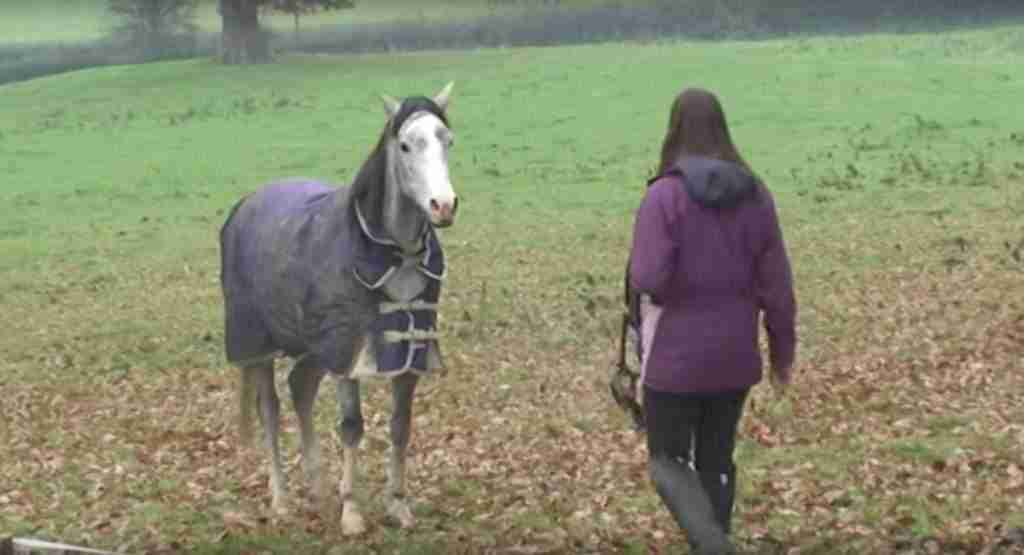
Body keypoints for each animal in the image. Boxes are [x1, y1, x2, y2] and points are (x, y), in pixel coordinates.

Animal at [218, 83, 458, 535]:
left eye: (447, 141)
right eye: (404, 145)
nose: (443, 205)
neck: (393, 255)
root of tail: (245, 204)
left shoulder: (408, 353)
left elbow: (400, 427)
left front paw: (398, 504)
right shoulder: (348, 354)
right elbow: (351, 428)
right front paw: (352, 513)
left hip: (313, 347)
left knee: (300, 388)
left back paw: (317, 489)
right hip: (259, 346)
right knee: (270, 409)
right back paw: (282, 499)